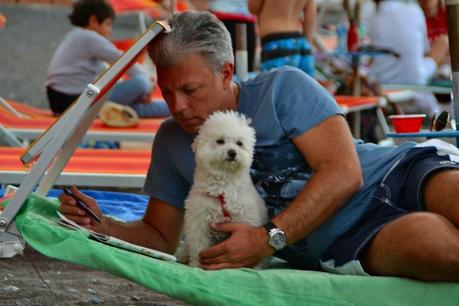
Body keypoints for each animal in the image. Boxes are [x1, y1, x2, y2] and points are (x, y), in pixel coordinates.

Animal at [181, 110, 268, 268]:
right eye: (220, 141)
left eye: (239, 143)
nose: (232, 152)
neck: (223, 185)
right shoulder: (199, 220)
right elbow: (198, 247)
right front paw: (196, 265)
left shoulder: (246, 219)